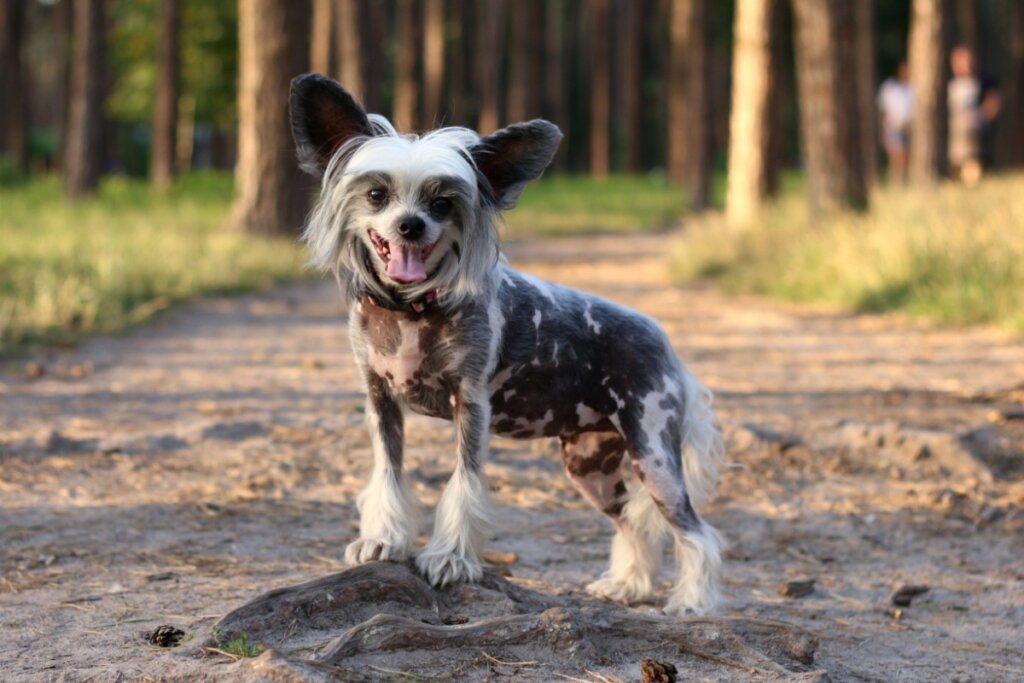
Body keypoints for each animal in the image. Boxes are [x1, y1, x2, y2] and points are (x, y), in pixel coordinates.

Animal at [286, 73, 729, 614]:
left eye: (442, 203)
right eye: (375, 194)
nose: (410, 224)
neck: (412, 308)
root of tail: (667, 344)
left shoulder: (471, 405)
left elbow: (464, 485)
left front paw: (450, 559)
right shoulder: (380, 401)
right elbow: (387, 476)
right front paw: (383, 541)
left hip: (655, 454)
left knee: (696, 532)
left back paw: (693, 602)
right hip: (590, 467)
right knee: (631, 523)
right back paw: (628, 585)